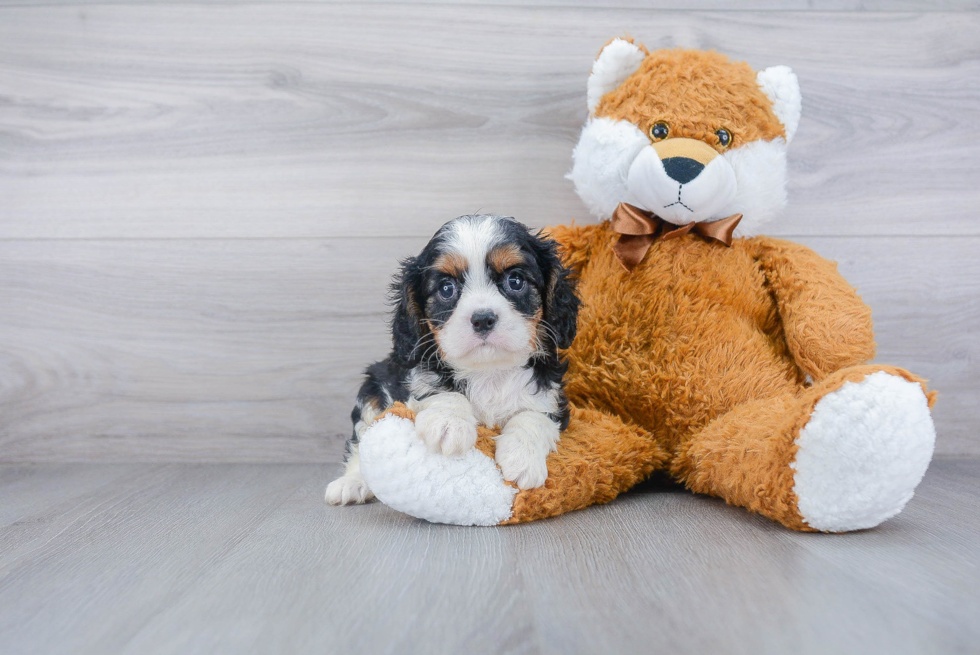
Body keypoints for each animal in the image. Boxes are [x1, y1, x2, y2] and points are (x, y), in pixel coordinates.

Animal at [326, 213, 580, 504]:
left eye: (515, 281)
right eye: (447, 288)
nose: (483, 318)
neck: (488, 371)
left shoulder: (551, 396)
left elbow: (533, 415)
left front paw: (522, 457)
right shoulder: (413, 376)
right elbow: (440, 391)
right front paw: (448, 424)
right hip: (372, 388)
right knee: (362, 440)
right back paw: (352, 483)